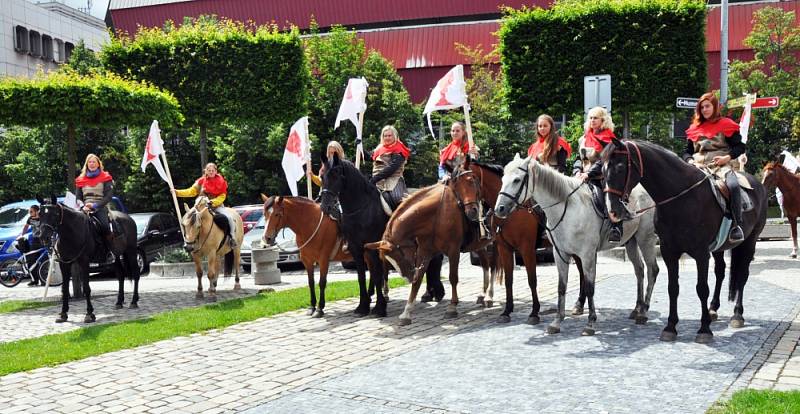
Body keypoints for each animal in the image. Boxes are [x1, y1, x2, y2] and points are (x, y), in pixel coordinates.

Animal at [37, 195, 141, 324]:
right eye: (40, 214)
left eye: (54, 214)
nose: (43, 237)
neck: (72, 233)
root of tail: (128, 218)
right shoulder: (65, 264)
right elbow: (65, 289)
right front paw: (63, 314)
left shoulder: (84, 263)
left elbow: (86, 288)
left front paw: (89, 314)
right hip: (116, 257)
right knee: (121, 275)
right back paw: (119, 302)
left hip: (131, 252)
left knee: (136, 273)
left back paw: (134, 301)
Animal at [318, 152, 390, 316]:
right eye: (322, 176)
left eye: (335, 175)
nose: (325, 207)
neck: (360, 209)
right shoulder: (356, 248)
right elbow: (361, 276)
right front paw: (363, 306)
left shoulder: (372, 246)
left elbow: (376, 274)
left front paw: (379, 307)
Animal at [496, 155, 660, 336]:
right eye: (502, 179)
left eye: (517, 180)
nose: (499, 209)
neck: (567, 210)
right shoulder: (560, 254)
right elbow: (562, 287)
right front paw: (556, 322)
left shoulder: (587, 255)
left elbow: (589, 287)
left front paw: (590, 323)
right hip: (631, 241)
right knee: (639, 270)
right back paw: (637, 309)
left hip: (645, 239)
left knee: (652, 270)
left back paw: (643, 312)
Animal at [600, 139, 768, 342]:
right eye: (602, 169)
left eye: (619, 167)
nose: (613, 211)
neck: (681, 198)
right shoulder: (669, 251)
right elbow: (673, 288)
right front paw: (670, 327)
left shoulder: (701, 253)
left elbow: (702, 288)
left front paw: (704, 330)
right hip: (719, 248)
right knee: (720, 272)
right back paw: (713, 309)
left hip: (750, 241)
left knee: (742, 275)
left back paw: (737, 315)